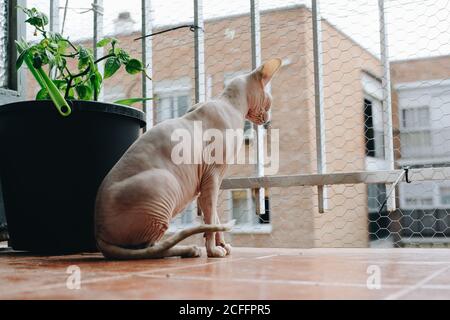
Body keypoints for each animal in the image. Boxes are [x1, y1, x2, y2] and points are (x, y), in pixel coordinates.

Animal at [94, 57, 282, 258]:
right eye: (269, 103)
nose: (267, 120)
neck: (230, 104)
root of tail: (99, 236)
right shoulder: (212, 176)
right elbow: (210, 219)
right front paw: (213, 250)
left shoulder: (208, 181)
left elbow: (213, 215)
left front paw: (222, 245)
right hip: (165, 184)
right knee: (151, 249)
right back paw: (189, 249)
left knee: (150, 247)